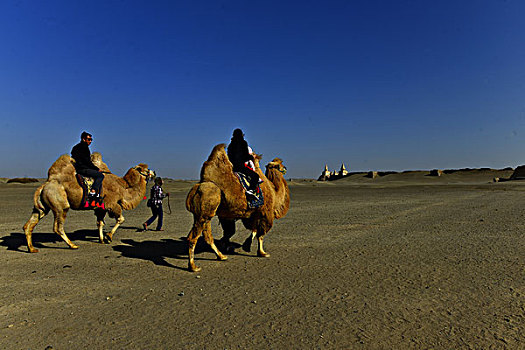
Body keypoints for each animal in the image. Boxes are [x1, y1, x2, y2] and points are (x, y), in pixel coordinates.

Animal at [23, 152, 154, 252]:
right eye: (145, 169)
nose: (154, 173)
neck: (123, 187)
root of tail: (45, 184)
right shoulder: (112, 204)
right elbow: (121, 219)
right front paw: (108, 237)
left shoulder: (101, 207)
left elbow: (100, 223)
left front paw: (101, 239)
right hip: (60, 206)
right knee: (58, 227)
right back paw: (72, 245)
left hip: (42, 207)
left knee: (30, 224)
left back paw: (32, 249)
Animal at [185, 144, 290, 272]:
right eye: (278, 165)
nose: (285, 168)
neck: (274, 192)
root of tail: (197, 187)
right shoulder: (266, 212)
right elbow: (261, 234)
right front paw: (262, 253)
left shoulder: (250, 214)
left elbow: (251, 231)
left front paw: (245, 245)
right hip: (204, 211)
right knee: (192, 238)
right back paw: (193, 266)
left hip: (205, 215)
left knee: (208, 236)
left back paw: (221, 256)